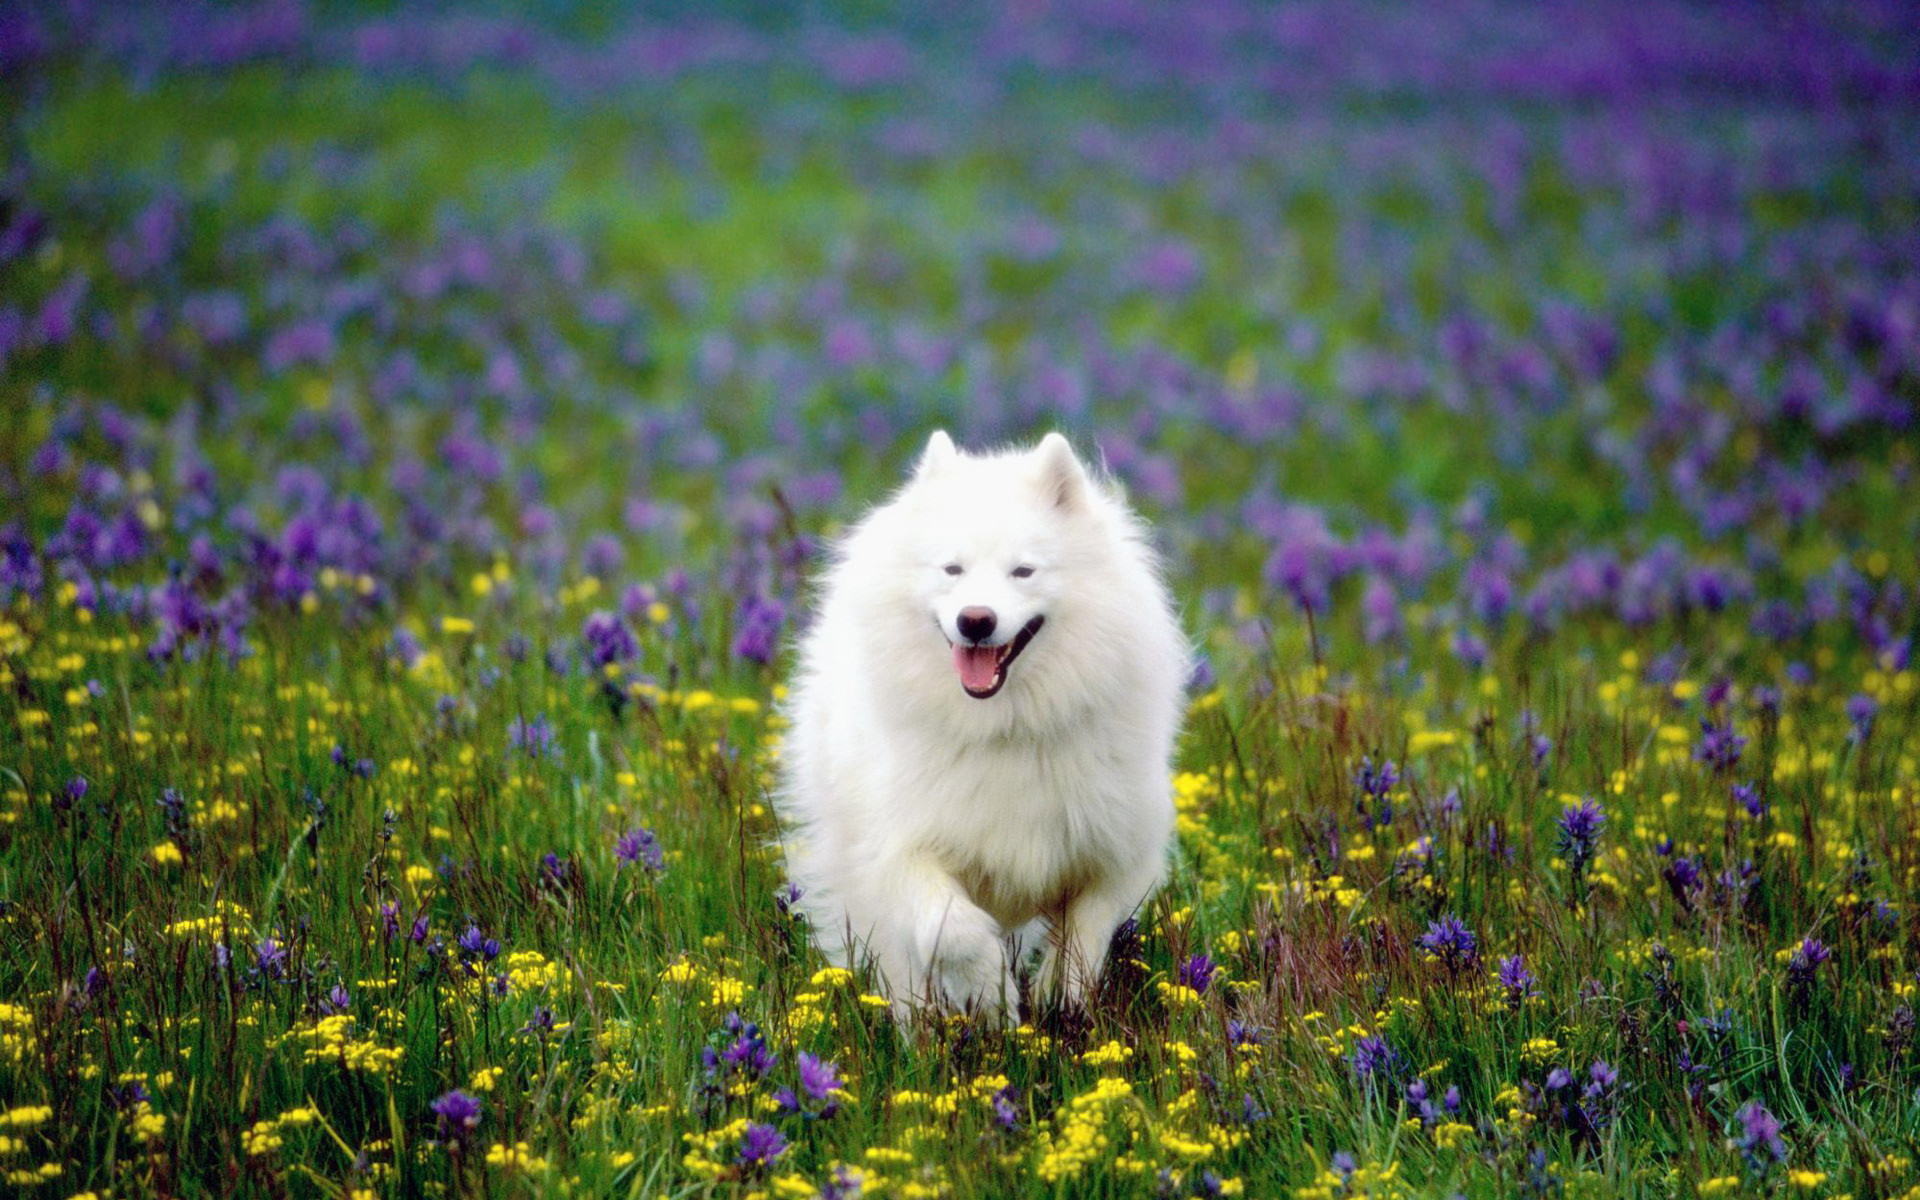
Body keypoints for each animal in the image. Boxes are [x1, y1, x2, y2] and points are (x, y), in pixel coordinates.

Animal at [779, 430, 1182, 1021]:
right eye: (952, 570)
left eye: (1023, 571)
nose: (975, 620)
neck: (1005, 728)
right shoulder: (901, 848)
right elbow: (953, 931)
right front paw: (991, 999)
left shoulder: (1117, 849)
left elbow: (1085, 933)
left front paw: (1058, 999)